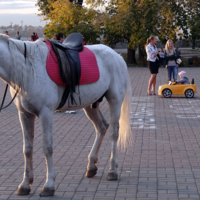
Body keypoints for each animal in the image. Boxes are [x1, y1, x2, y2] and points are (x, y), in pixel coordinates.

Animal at [0, 34, 131, 197]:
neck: (27, 69)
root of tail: (117, 56)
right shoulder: (25, 114)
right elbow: (27, 149)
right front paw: (25, 184)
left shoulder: (46, 113)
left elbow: (47, 147)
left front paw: (49, 185)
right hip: (90, 105)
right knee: (102, 127)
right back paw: (91, 166)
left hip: (115, 101)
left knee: (114, 132)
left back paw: (112, 170)